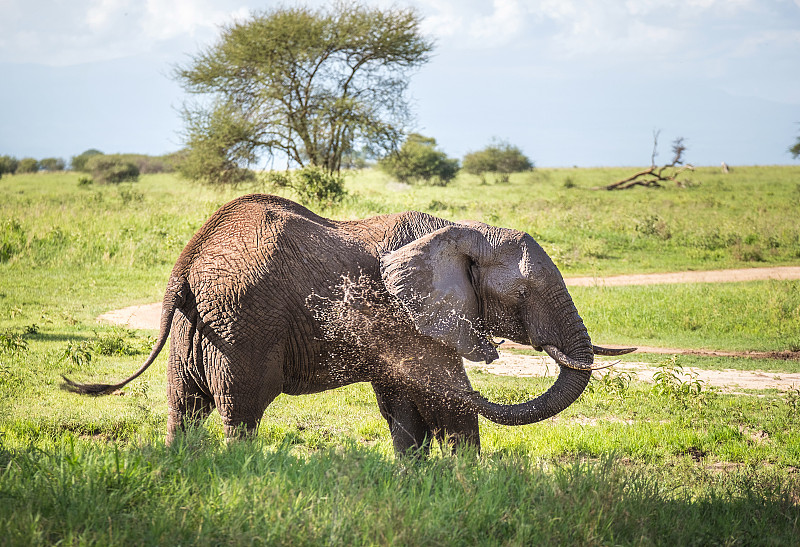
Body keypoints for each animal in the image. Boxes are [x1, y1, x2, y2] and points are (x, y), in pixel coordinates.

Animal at [62, 195, 636, 456]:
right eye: (522, 296)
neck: (462, 229)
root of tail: (187, 259)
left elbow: (403, 405)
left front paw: (417, 478)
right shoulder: (415, 320)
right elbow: (443, 396)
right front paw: (469, 482)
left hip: (195, 329)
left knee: (184, 407)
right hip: (242, 326)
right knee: (240, 411)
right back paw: (238, 468)